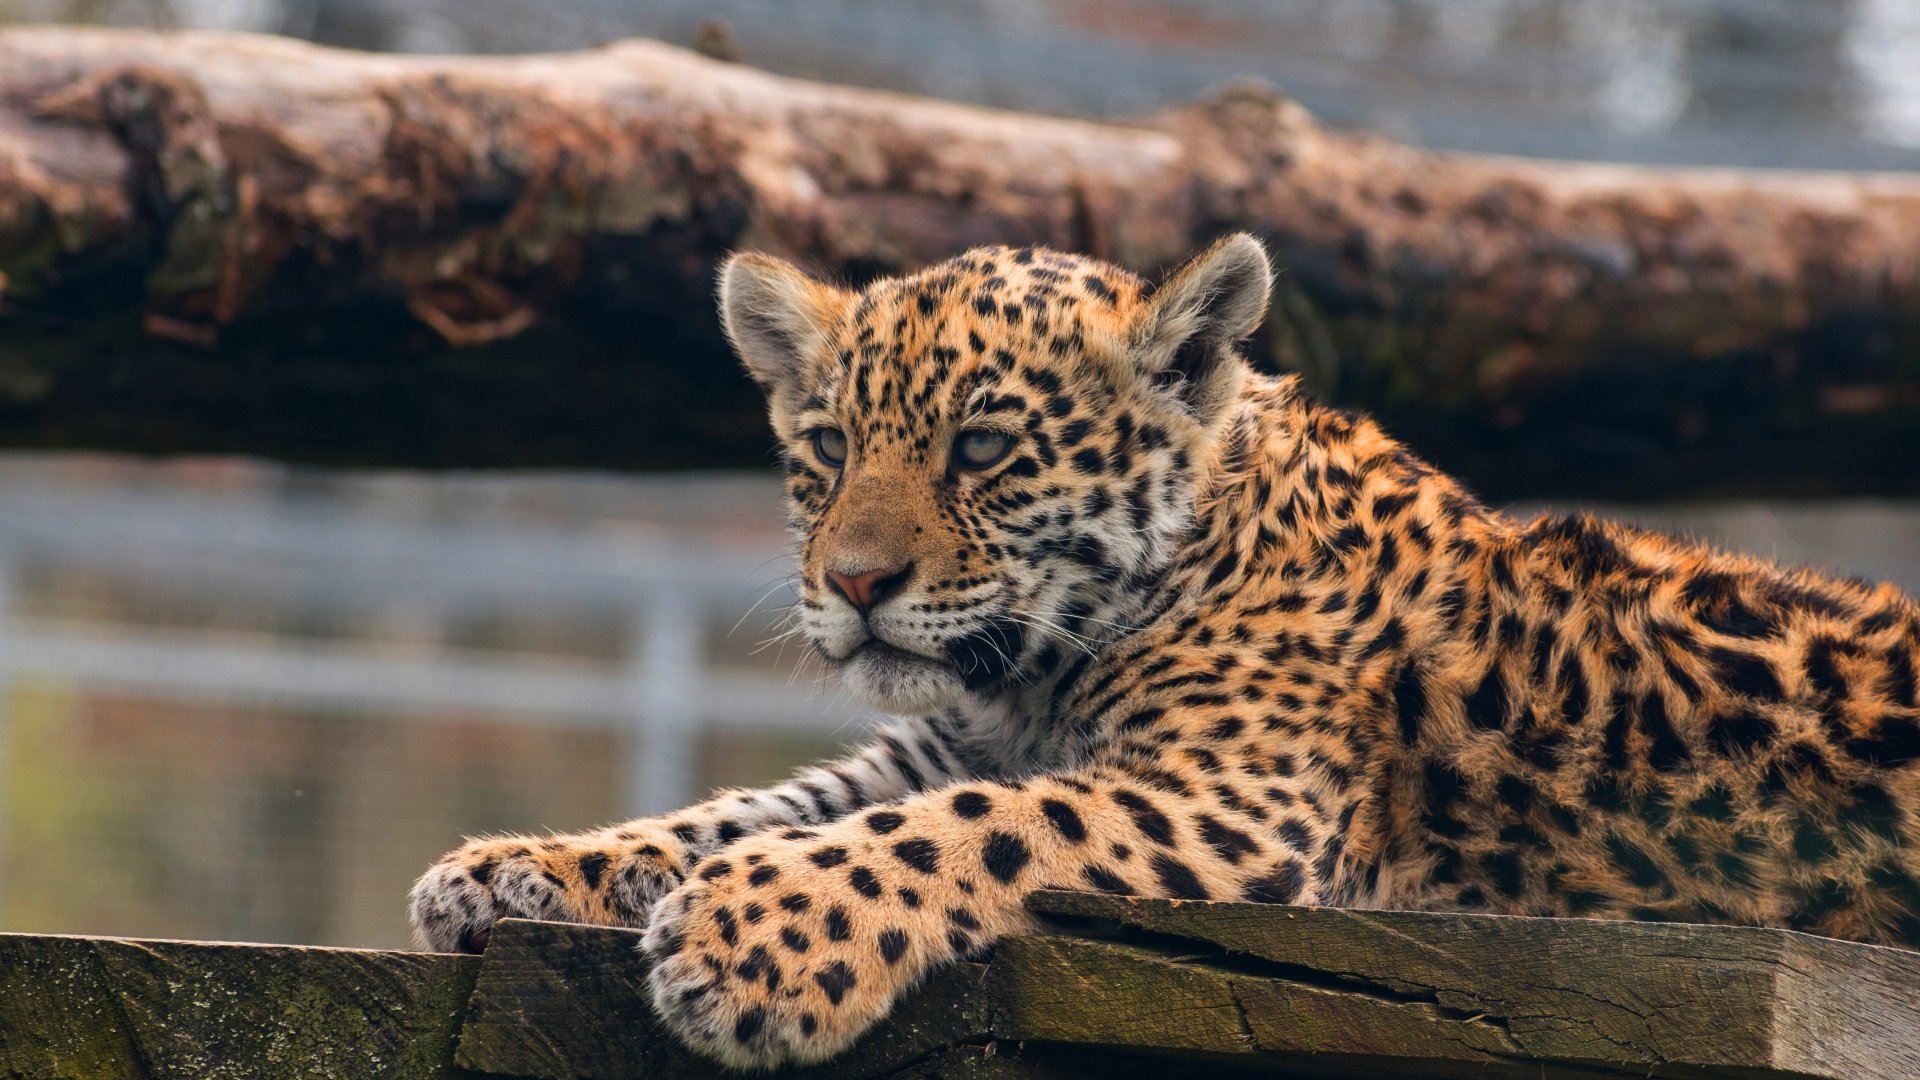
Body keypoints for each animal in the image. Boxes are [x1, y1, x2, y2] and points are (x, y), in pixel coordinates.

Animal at [410, 234, 1920, 1070]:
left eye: (983, 447)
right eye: (829, 448)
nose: (854, 583)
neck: (1027, 677)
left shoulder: (1241, 805)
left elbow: (970, 828)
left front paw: (748, 942)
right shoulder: (924, 746)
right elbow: (750, 807)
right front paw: (512, 870)